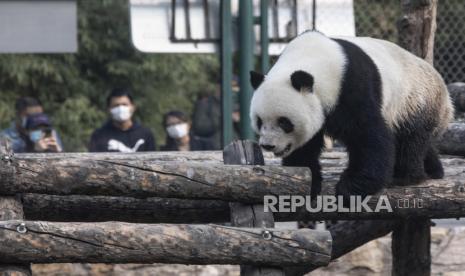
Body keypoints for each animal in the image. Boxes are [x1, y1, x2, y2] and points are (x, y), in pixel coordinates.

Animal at [250, 31, 454, 198]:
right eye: (259, 121)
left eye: (284, 122)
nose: (268, 145)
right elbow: (307, 146)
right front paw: (310, 181)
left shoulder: (351, 86)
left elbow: (369, 135)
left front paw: (350, 187)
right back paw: (434, 170)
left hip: (415, 100)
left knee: (411, 140)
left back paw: (405, 177)